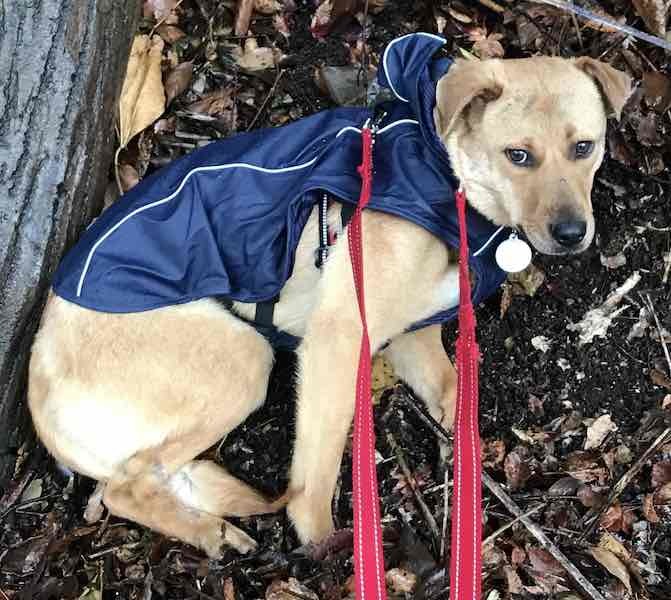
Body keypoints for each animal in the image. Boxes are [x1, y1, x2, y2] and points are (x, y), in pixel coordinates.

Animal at [28, 33, 631, 557]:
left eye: (584, 147)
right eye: (518, 155)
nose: (572, 234)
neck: (444, 173)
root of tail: (39, 402)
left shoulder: (412, 336)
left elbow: (455, 393)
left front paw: (461, 462)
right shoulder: (341, 335)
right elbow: (317, 468)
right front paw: (324, 543)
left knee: (150, 477)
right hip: (243, 357)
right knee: (121, 490)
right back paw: (211, 535)